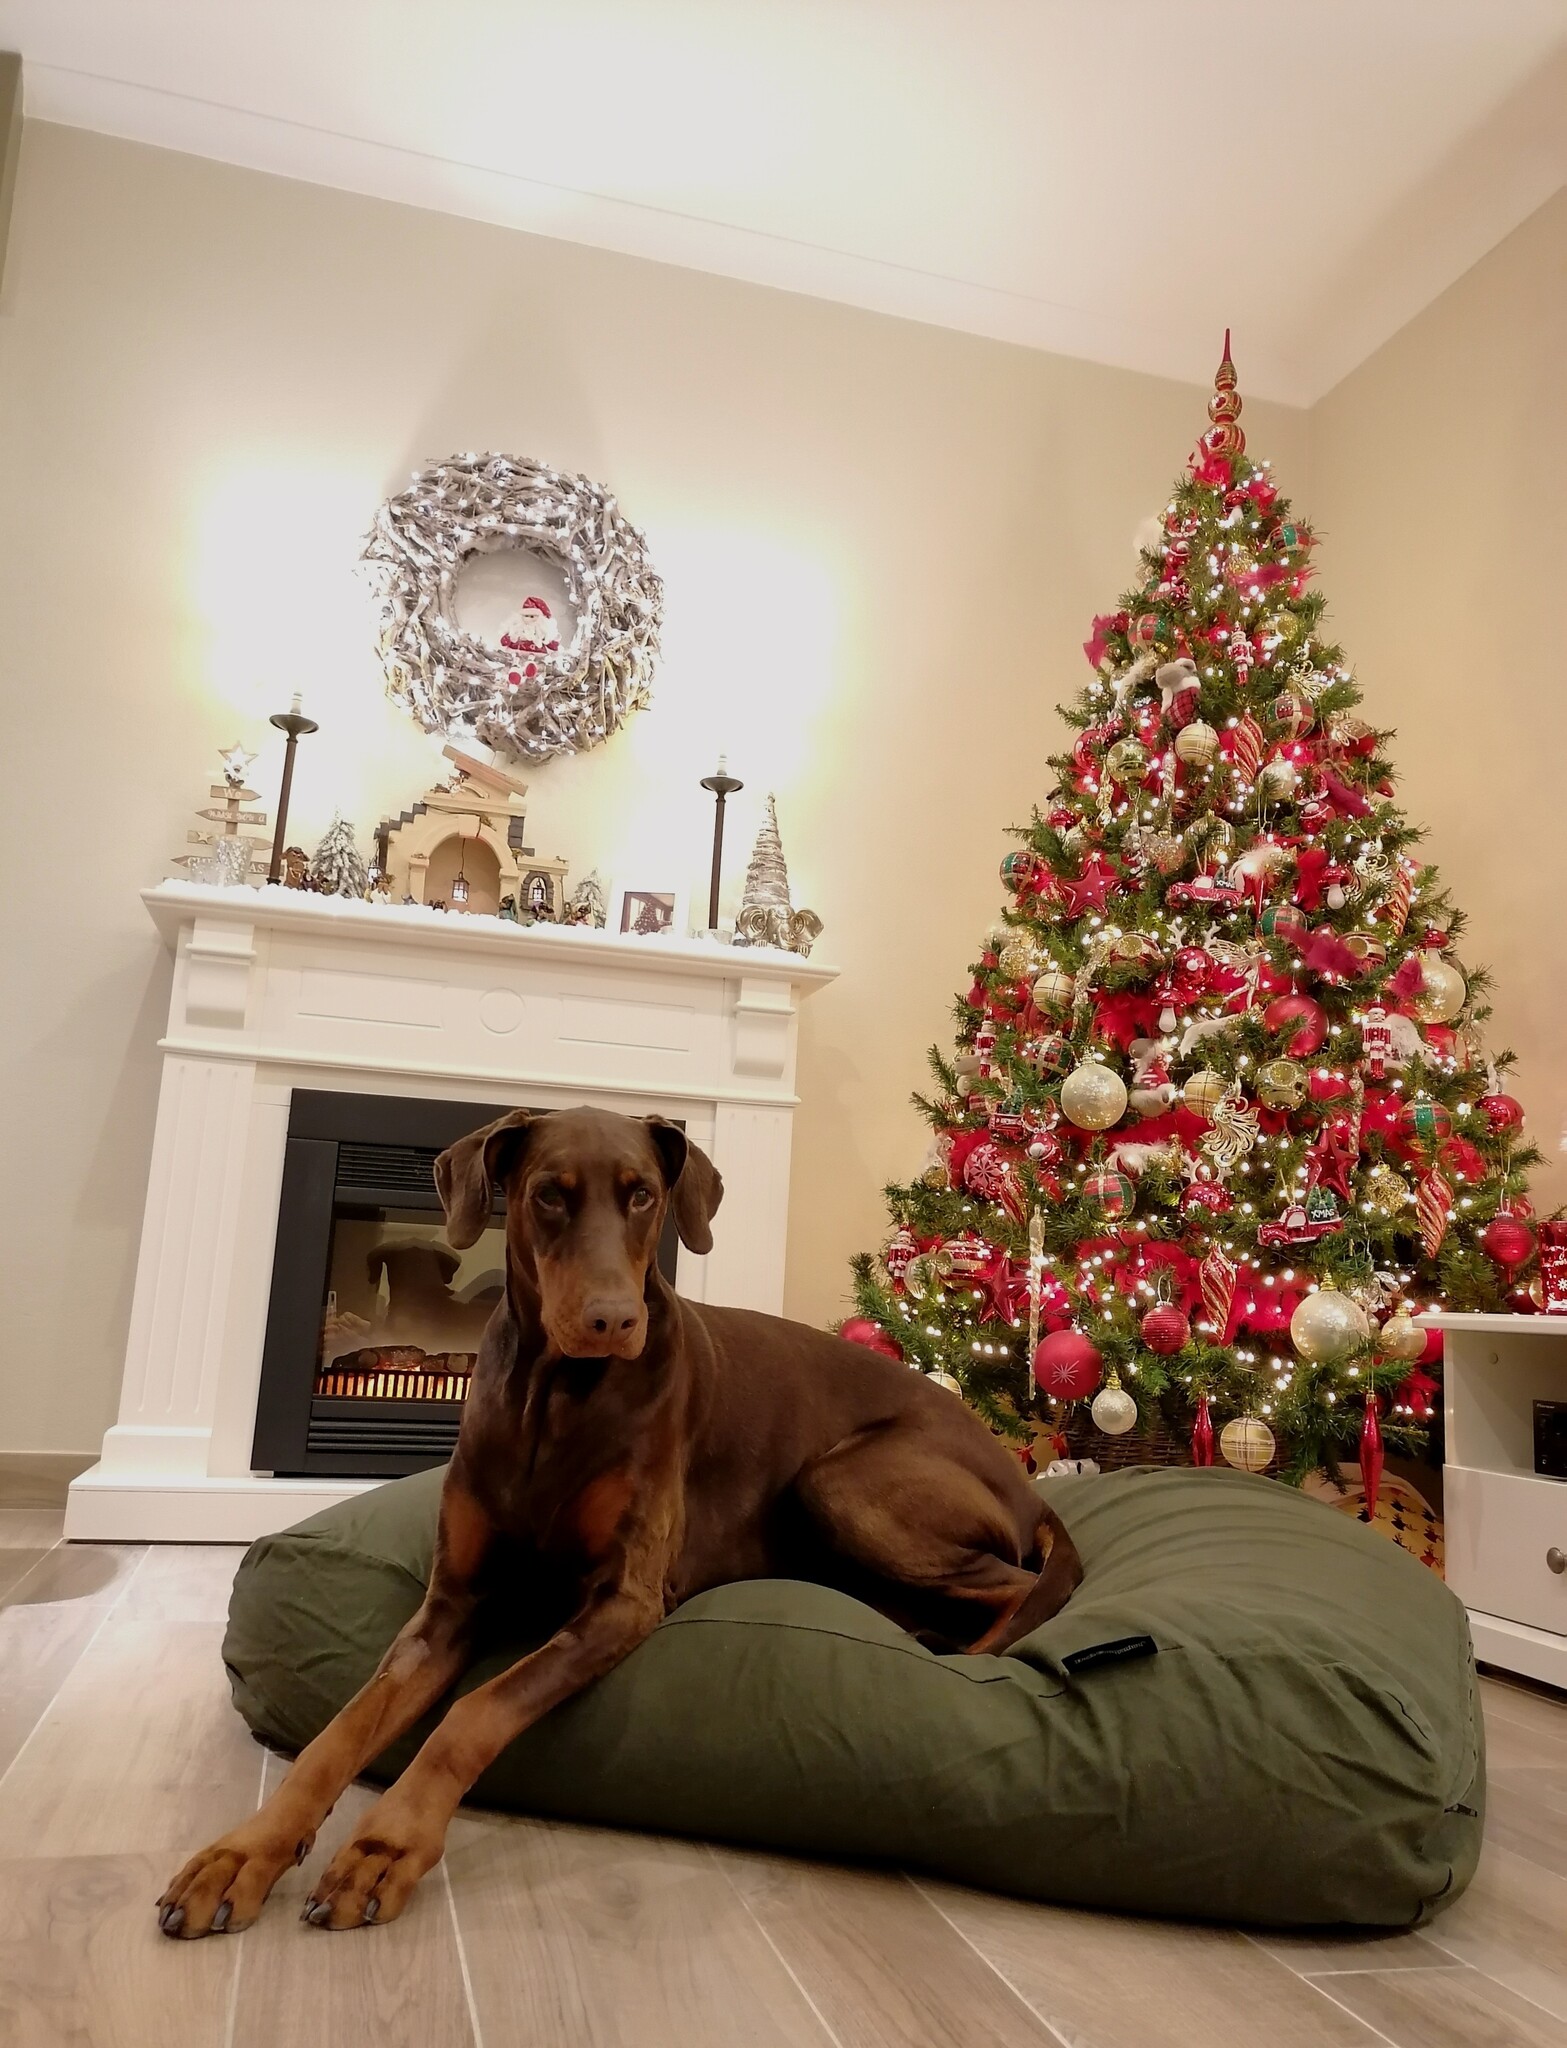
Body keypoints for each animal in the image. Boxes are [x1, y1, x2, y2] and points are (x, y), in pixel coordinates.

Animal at [158, 1106, 1081, 1937]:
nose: (612, 1320)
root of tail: (1025, 1480)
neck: (553, 1396)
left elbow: (474, 1711)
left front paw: (384, 1848)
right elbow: (340, 1731)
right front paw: (243, 1854)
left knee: (1019, 1586)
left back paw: (956, 1649)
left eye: (642, 1196)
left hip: (840, 1481)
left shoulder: (624, 1599)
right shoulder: (450, 1603)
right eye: (548, 1195)